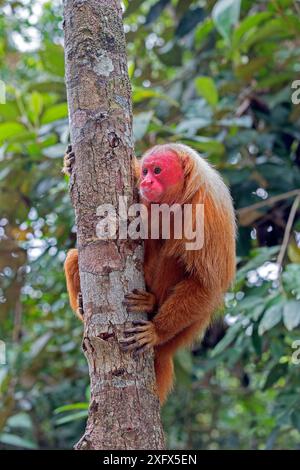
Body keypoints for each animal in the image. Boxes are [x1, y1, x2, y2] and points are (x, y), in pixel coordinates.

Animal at [63, 143, 237, 404]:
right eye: (145, 171)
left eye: (157, 171)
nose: (146, 182)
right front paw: (69, 161)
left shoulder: (206, 214)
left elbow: (208, 284)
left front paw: (156, 331)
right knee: (74, 257)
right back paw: (84, 305)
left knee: (174, 255)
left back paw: (150, 302)